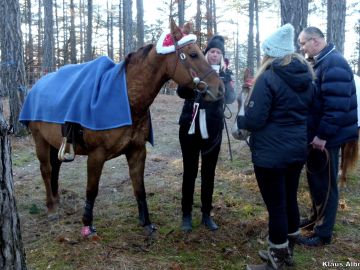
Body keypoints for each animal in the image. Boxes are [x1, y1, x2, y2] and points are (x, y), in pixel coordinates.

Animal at [21, 19, 224, 236]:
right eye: (193, 54)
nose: (220, 88)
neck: (127, 99)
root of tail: (37, 86)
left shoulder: (137, 150)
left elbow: (139, 188)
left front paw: (146, 222)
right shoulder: (96, 155)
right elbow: (92, 190)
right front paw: (87, 224)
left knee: (56, 168)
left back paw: (56, 200)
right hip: (39, 139)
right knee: (46, 169)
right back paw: (51, 208)